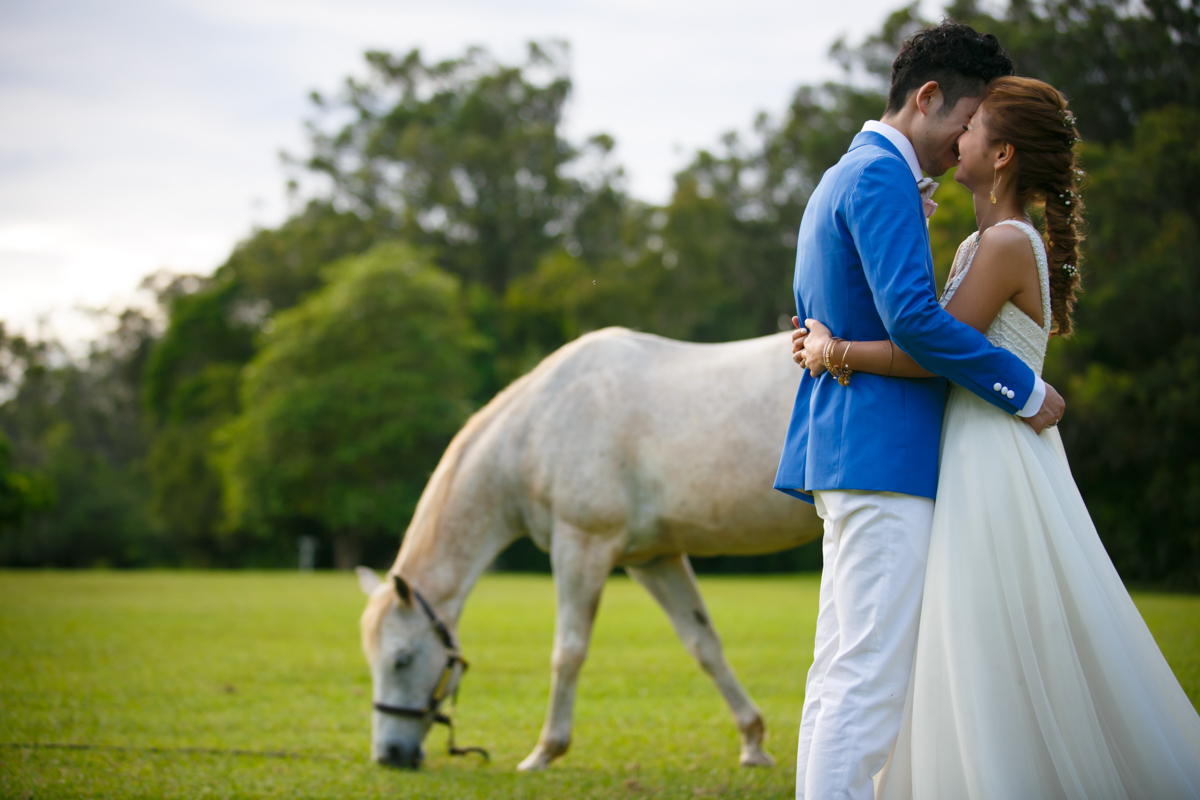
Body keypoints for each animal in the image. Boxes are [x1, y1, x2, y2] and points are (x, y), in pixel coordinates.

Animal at [355, 327, 821, 770]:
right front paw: (753, 742)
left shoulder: (581, 546)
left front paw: (546, 751)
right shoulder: (654, 560)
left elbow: (569, 650)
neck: (536, 429)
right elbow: (702, 643)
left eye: (401, 659)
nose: (389, 755)